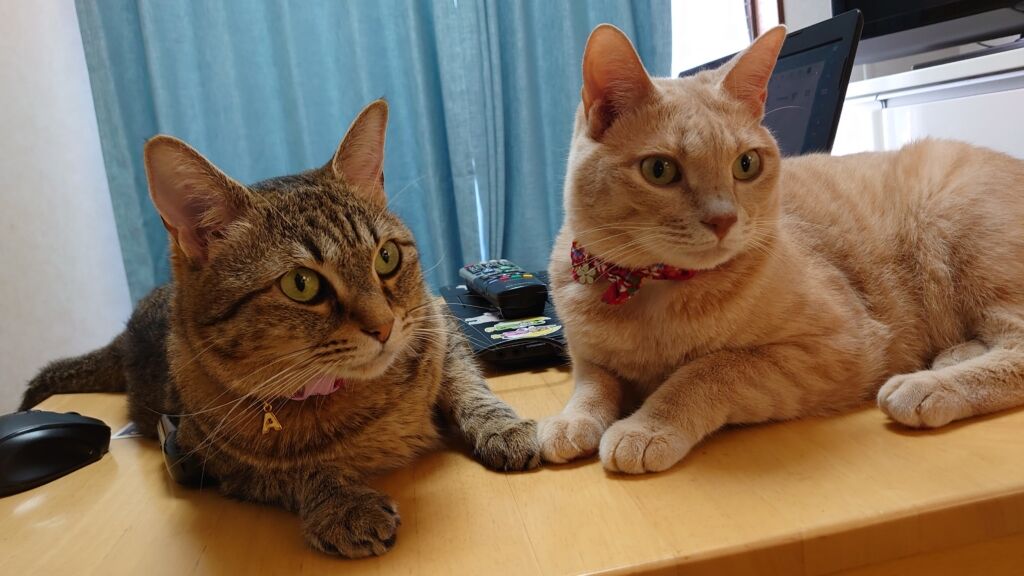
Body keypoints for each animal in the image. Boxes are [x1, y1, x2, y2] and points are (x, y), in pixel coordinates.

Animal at [20, 100, 540, 556]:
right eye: (301, 284)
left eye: (387, 258)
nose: (385, 326)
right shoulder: (208, 458)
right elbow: (296, 472)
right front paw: (342, 504)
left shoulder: (437, 326)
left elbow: (468, 385)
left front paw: (503, 427)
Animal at [538, 24, 1024, 475]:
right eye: (660, 170)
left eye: (745, 164)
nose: (723, 220)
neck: (648, 290)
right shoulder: (588, 357)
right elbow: (592, 385)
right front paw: (570, 421)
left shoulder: (837, 347)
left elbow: (707, 371)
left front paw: (647, 425)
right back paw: (952, 356)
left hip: (965, 238)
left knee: (1014, 346)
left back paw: (928, 385)